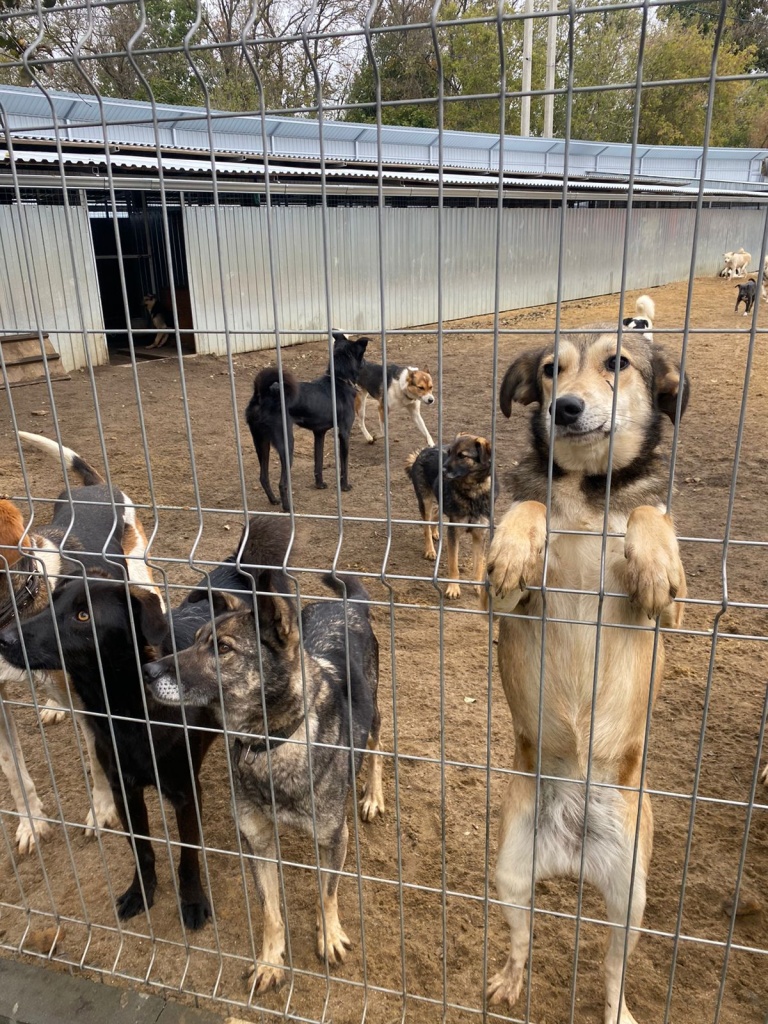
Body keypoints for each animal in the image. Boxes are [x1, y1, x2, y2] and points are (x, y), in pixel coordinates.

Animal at [0, 431, 159, 854]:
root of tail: (96, 486)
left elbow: (101, 763)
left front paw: (102, 812)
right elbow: (14, 771)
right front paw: (31, 824)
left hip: (142, 579)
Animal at [143, 517, 385, 992]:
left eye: (223, 648)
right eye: (194, 640)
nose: (149, 670)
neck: (270, 743)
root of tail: (347, 604)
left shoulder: (334, 838)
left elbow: (327, 891)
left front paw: (329, 934)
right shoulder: (257, 842)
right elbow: (271, 910)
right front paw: (271, 960)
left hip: (376, 712)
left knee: (378, 744)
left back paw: (372, 794)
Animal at [245, 330, 369, 511]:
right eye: (363, 356)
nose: (368, 363)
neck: (338, 380)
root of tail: (262, 395)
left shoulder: (319, 433)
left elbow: (318, 461)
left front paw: (320, 484)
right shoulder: (344, 432)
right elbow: (344, 464)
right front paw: (345, 486)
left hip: (261, 442)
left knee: (263, 476)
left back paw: (274, 500)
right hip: (286, 444)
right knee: (282, 483)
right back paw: (287, 507)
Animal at [406, 434, 497, 600]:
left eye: (462, 456)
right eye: (449, 453)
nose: (441, 470)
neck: (472, 493)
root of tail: (423, 451)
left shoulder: (479, 535)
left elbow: (479, 564)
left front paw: (478, 587)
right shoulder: (454, 532)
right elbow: (453, 565)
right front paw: (453, 588)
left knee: (436, 515)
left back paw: (435, 533)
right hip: (426, 501)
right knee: (426, 525)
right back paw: (430, 549)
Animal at [484, 323, 689, 1024]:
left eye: (617, 363)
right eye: (551, 370)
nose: (565, 408)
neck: (586, 495)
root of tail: (572, 854)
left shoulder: (670, 615)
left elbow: (651, 518)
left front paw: (654, 559)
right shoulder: (503, 603)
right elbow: (525, 509)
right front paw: (515, 544)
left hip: (632, 895)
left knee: (610, 967)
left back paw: (617, 1010)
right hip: (511, 869)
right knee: (522, 940)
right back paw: (509, 980)